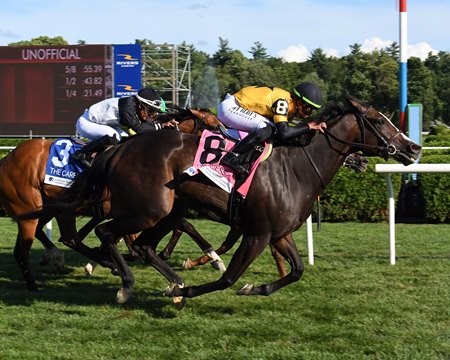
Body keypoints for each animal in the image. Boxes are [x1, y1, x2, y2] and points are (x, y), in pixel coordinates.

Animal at [20, 95, 422, 304]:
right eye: (379, 121)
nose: (414, 148)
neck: (296, 167)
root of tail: (120, 147)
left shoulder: (279, 233)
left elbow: (296, 270)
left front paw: (257, 286)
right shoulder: (257, 233)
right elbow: (229, 277)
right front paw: (207, 284)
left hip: (168, 209)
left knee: (142, 245)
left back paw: (170, 282)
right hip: (149, 209)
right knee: (106, 234)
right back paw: (127, 283)